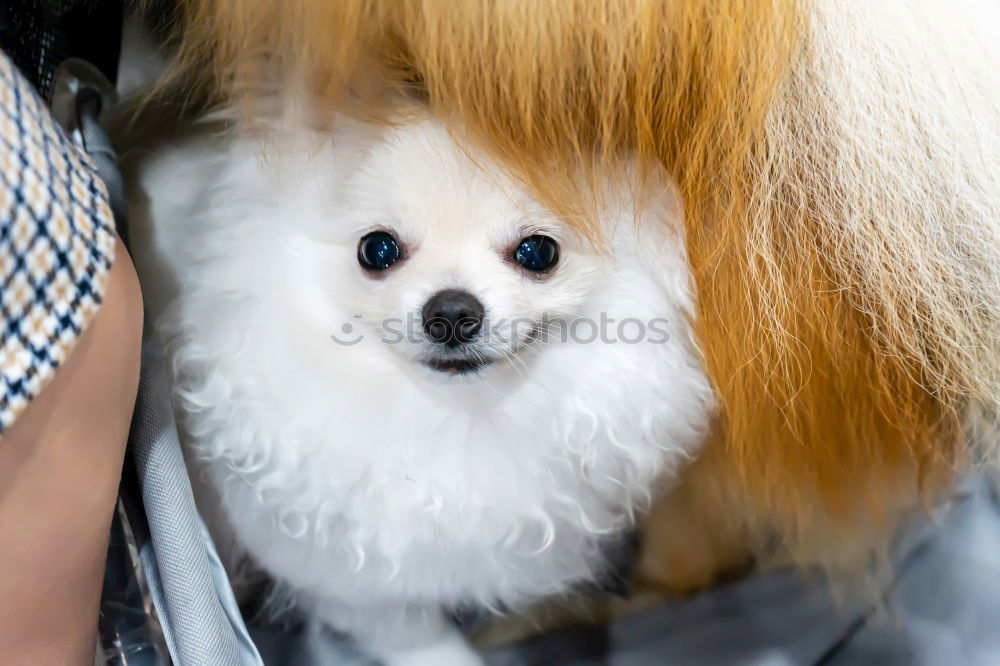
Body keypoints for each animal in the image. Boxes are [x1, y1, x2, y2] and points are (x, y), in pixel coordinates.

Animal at [123, 111, 712, 660]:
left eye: (538, 252)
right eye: (377, 250)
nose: (450, 312)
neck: (462, 418)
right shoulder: (349, 582)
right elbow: (419, 641)